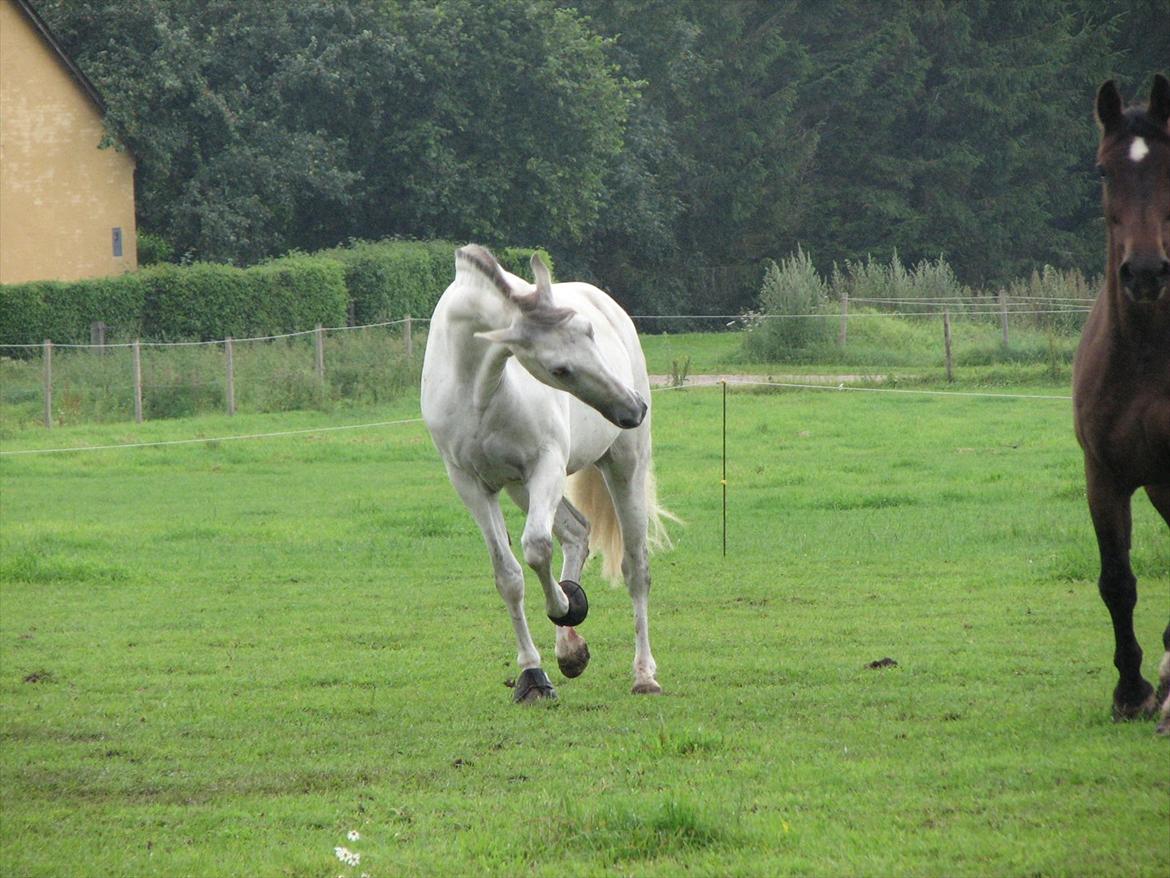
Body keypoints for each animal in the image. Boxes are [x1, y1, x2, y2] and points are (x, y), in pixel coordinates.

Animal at [425, 244, 673, 707]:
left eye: (589, 332)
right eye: (559, 370)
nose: (632, 408)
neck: (478, 390)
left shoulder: (547, 465)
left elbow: (537, 548)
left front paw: (566, 605)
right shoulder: (472, 485)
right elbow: (509, 576)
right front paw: (532, 675)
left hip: (622, 466)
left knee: (636, 568)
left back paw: (644, 674)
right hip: (520, 488)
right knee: (578, 533)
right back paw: (570, 650)